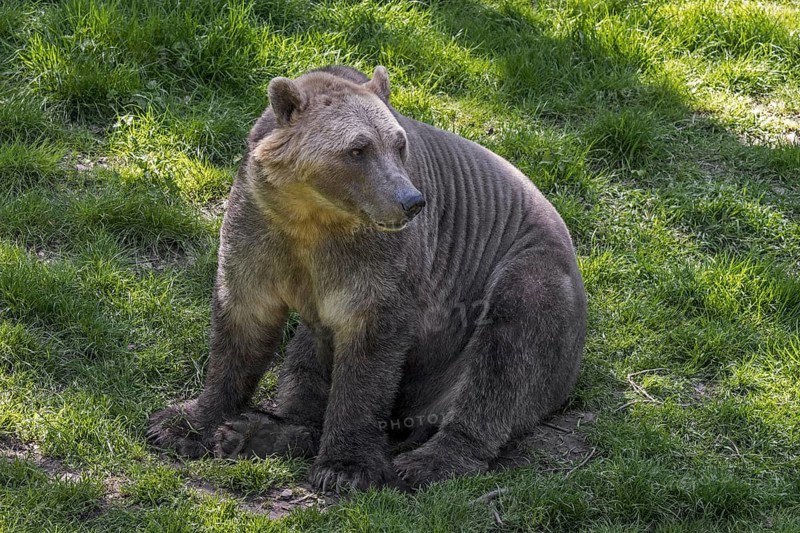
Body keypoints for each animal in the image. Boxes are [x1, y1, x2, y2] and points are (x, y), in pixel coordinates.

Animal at [147, 65, 587, 492]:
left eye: (398, 144)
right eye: (358, 149)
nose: (411, 201)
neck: (312, 216)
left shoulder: (380, 262)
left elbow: (370, 351)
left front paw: (346, 467)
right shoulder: (259, 227)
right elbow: (243, 319)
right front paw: (181, 423)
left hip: (526, 275)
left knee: (505, 357)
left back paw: (428, 461)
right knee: (304, 362)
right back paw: (253, 432)